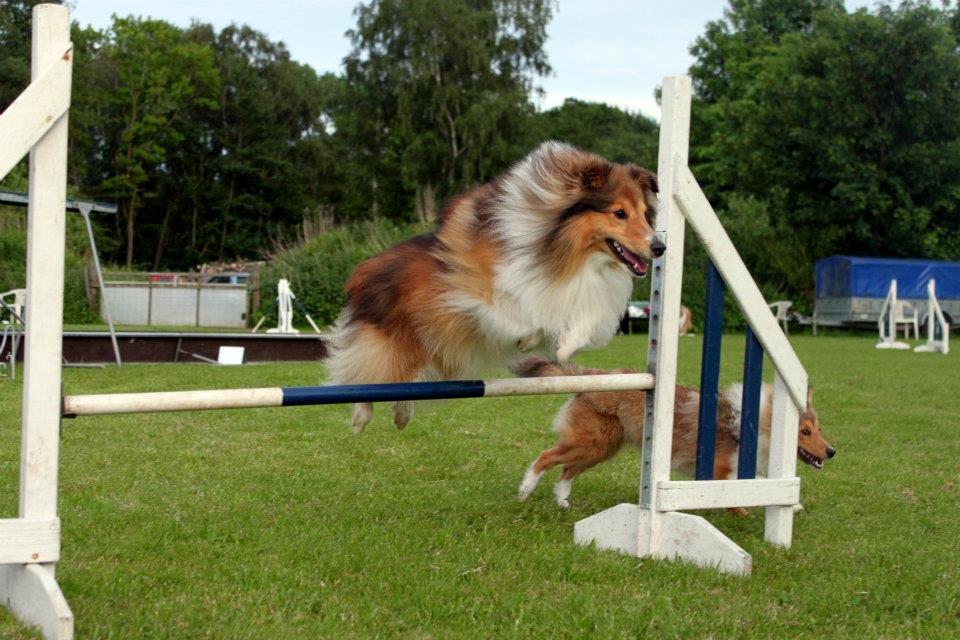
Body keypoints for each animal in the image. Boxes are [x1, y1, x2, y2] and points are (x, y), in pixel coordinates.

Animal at [326, 142, 664, 432]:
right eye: (619, 213)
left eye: (645, 214)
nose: (660, 247)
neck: (566, 252)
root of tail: (365, 271)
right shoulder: (480, 295)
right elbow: (523, 314)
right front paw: (529, 339)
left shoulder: (578, 295)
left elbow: (577, 323)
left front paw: (563, 347)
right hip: (402, 339)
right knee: (369, 373)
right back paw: (361, 416)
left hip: (435, 347)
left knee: (405, 380)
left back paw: (401, 413)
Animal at [512, 360, 836, 510]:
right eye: (804, 431)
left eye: (818, 429)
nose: (832, 451)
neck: (752, 425)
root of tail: (594, 374)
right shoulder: (718, 469)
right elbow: (755, 481)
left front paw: (789, 501)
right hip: (590, 442)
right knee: (545, 458)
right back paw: (526, 490)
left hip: (601, 448)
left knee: (566, 471)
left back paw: (562, 503)